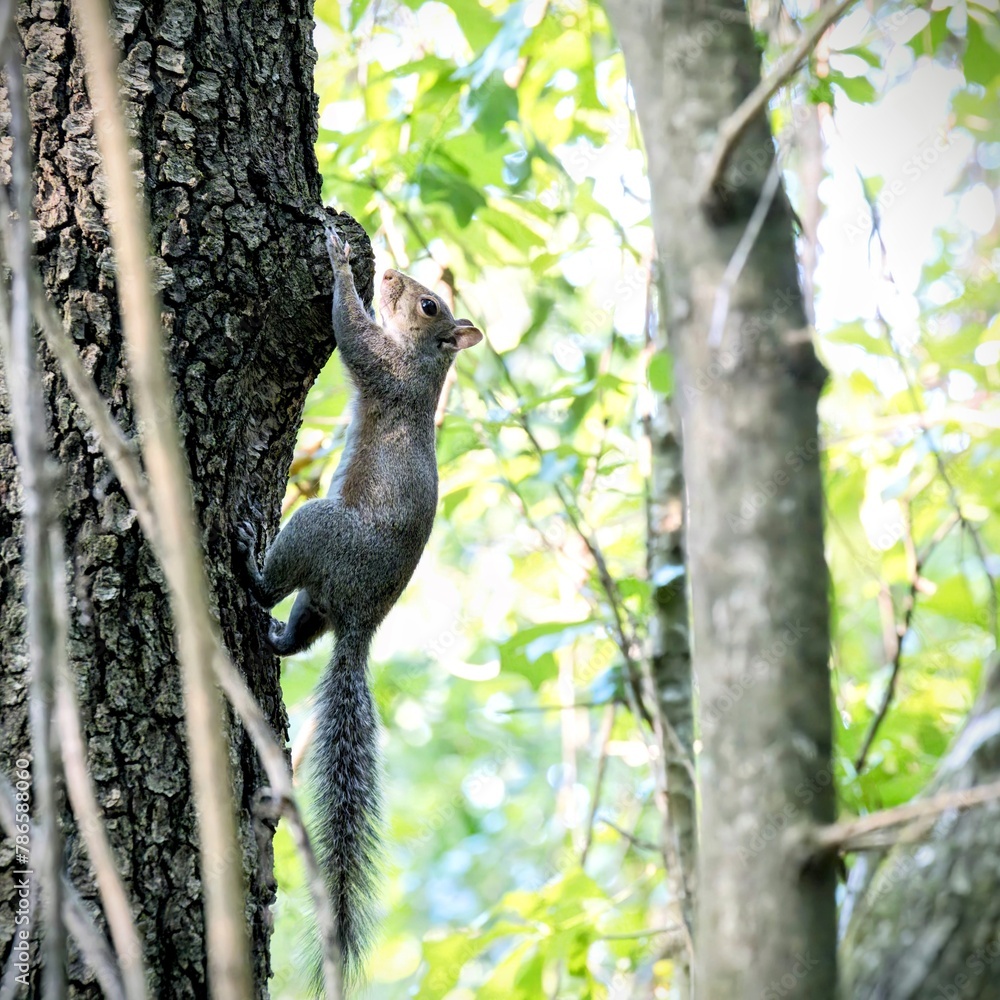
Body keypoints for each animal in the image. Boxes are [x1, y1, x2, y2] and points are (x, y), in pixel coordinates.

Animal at [236, 228, 482, 985]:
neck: (423, 366)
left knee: (275, 584)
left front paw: (341, 262)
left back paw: (247, 561)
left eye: (429, 304)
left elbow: (349, 329)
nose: (393, 274)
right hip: (319, 597)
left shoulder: (382, 369)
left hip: (319, 531)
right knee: (301, 634)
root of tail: (362, 625)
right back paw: (275, 633)